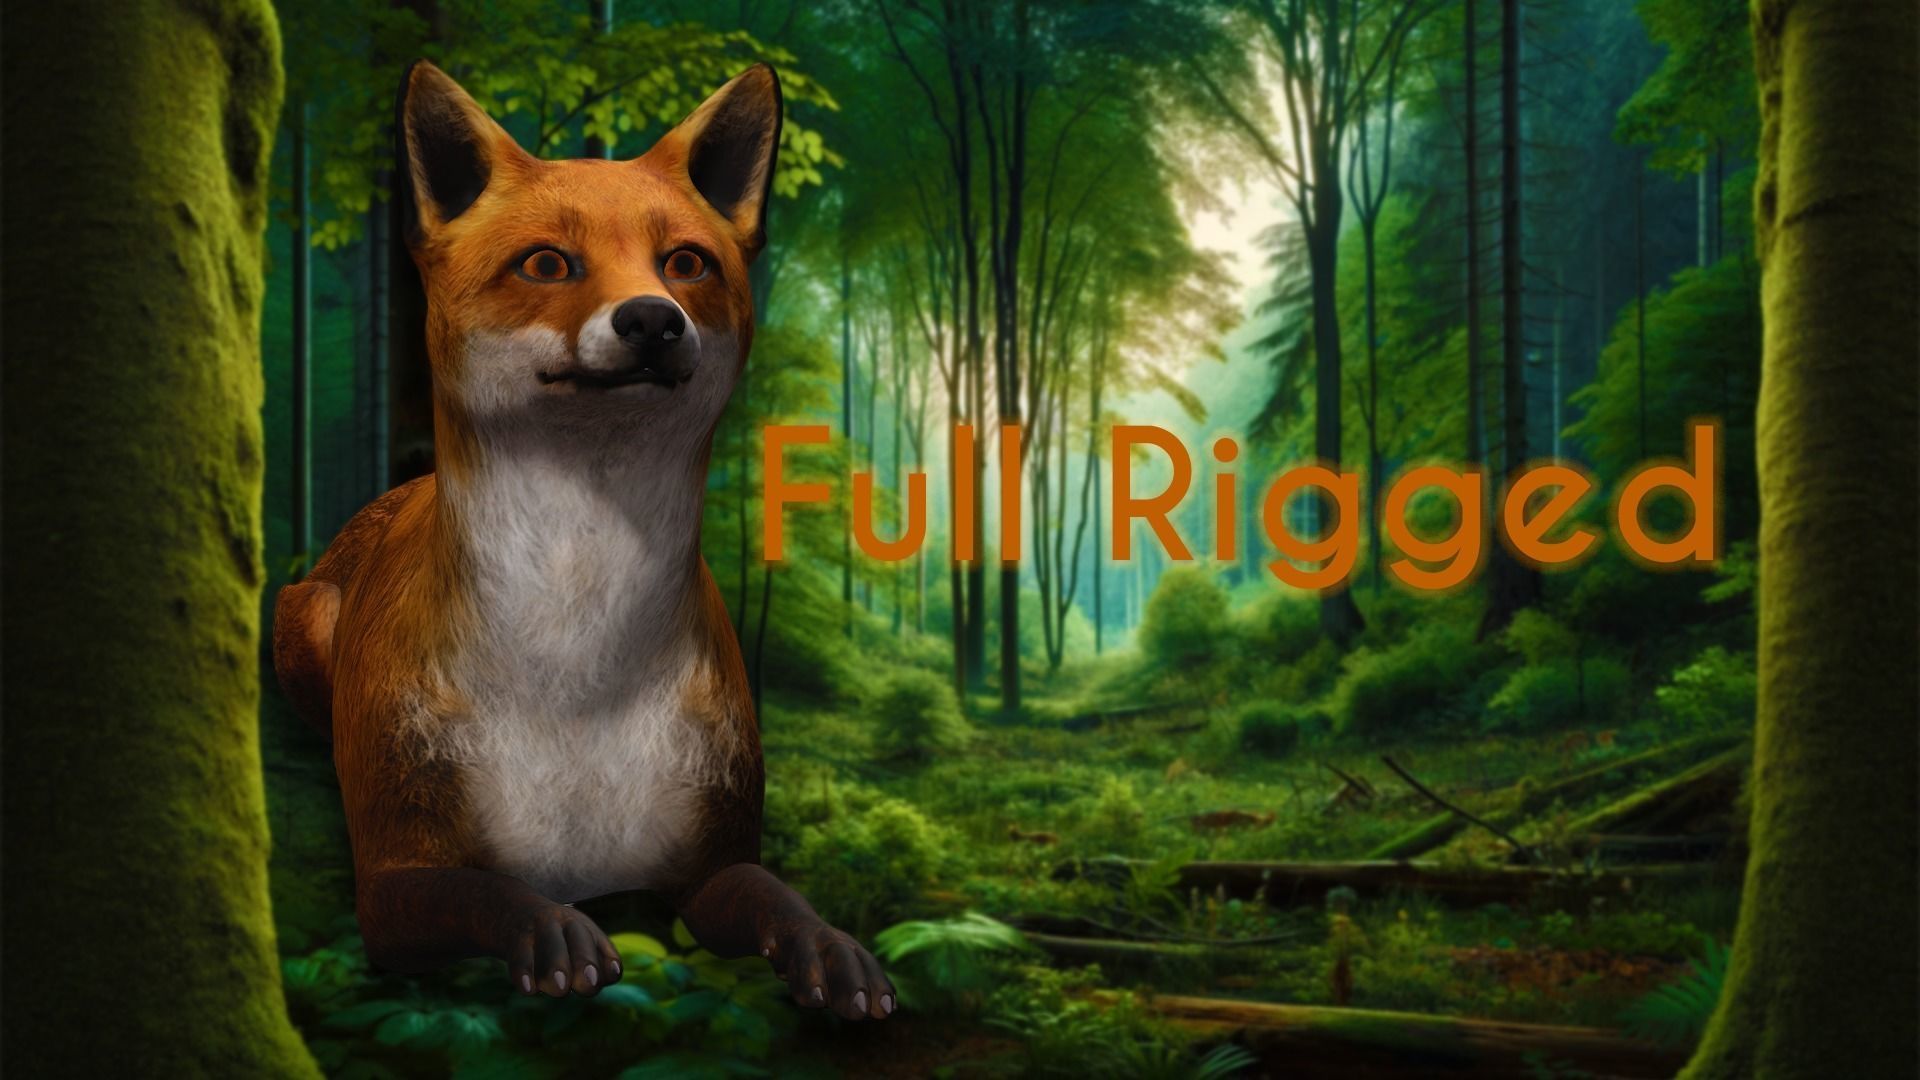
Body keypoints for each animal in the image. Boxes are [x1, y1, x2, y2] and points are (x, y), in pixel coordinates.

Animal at [271, 60, 894, 1020]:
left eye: (685, 262)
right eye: (545, 263)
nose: (652, 320)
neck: (576, 668)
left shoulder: (710, 866)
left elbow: (780, 900)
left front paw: (833, 951)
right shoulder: (391, 879)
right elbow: (489, 890)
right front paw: (554, 929)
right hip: (298, 619)